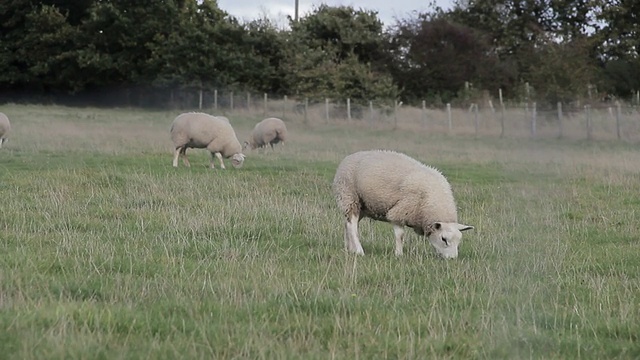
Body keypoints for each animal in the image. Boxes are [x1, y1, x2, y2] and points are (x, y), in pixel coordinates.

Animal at [332, 150, 472, 258]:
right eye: (444, 239)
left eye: (459, 240)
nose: (452, 259)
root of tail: (349, 157)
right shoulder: (400, 212)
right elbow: (400, 236)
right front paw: (399, 254)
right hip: (350, 197)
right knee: (352, 225)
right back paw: (359, 251)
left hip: (362, 206)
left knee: (347, 224)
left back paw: (349, 248)